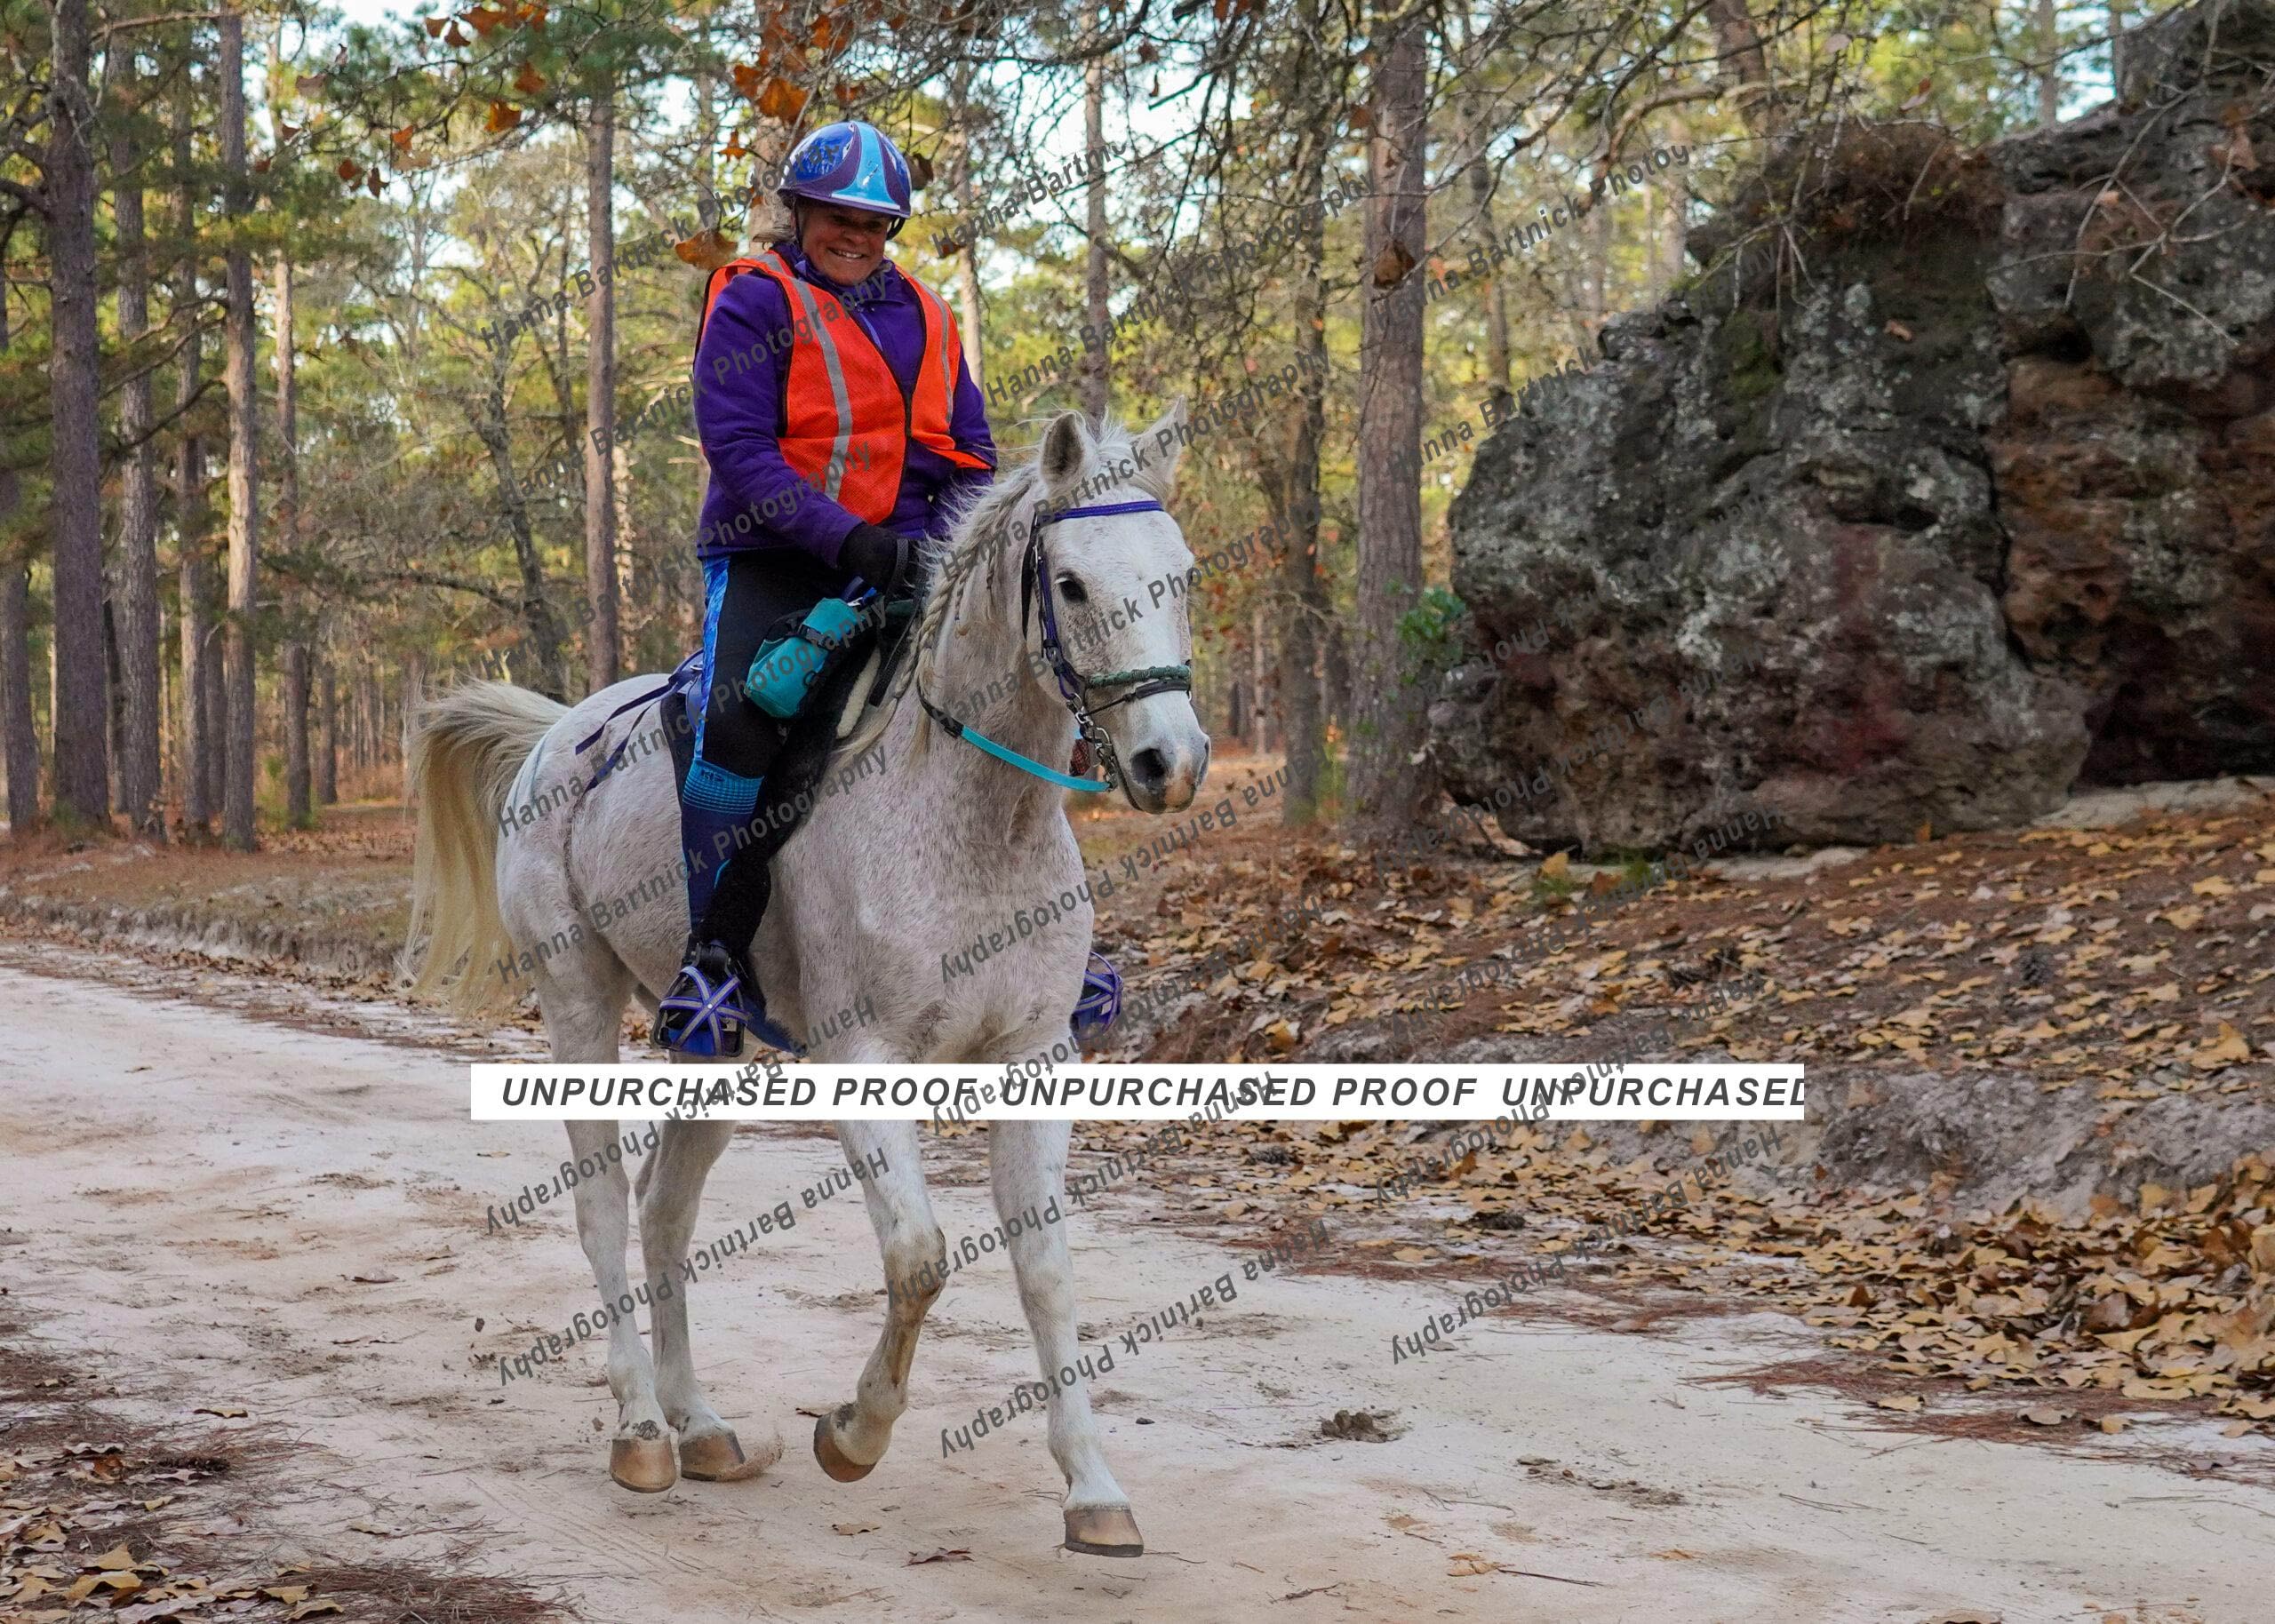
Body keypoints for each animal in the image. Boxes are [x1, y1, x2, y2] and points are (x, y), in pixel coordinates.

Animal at [404, 406, 1209, 1557]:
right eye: (1071, 585)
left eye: (1179, 574)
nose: (1167, 764)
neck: (973, 810)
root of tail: (559, 733)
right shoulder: (865, 1057)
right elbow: (918, 1256)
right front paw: (854, 1432)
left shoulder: (1033, 1057)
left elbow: (1046, 1267)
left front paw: (1093, 1489)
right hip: (576, 999)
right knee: (602, 1206)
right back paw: (641, 1429)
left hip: (721, 1049)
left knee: (664, 1209)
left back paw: (699, 1425)